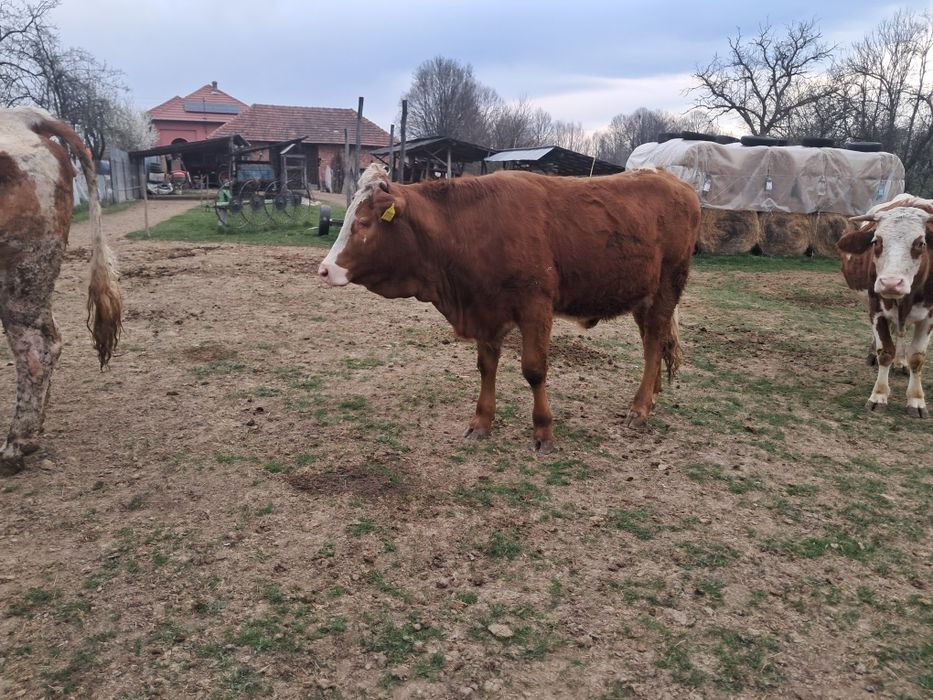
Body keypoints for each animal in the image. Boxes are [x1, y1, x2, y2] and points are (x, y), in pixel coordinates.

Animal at [318, 164, 700, 453]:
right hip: (642, 294)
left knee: (655, 341)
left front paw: (543, 431)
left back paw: (640, 408)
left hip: (667, 287)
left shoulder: (536, 305)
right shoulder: (486, 309)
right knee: (653, 343)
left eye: (364, 223)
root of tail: (671, 179)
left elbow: (534, 370)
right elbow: (486, 367)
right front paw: (481, 421)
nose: (324, 269)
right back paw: (650, 396)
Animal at [838, 194, 933, 418]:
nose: (890, 283)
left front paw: (916, 400)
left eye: (921, 243)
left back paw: (901, 362)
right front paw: (878, 395)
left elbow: (917, 357)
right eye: (876, 241)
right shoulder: (877, 310)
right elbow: (886, 351)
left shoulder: (929, 316)